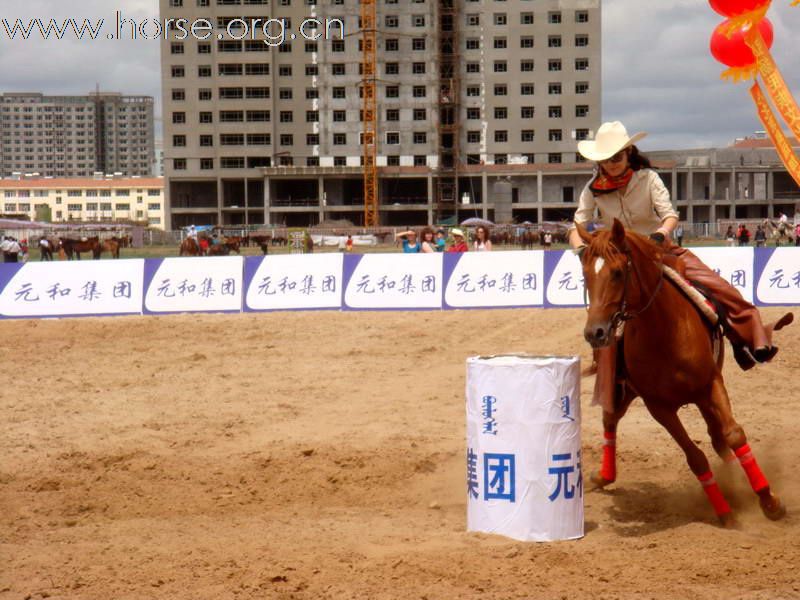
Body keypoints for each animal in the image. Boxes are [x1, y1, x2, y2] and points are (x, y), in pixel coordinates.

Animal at [576, 219, 788, 524]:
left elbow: (734, 434)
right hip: (623, 388)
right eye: (585, 275)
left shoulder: (711, 384)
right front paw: (724, 512)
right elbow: (695, 457)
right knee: (610, 420)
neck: (664, 333)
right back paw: (604, 475)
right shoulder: (659, 407)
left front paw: (769, 501)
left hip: (701, 392)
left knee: (718, 436)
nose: (596, 333)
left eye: (617, 272)